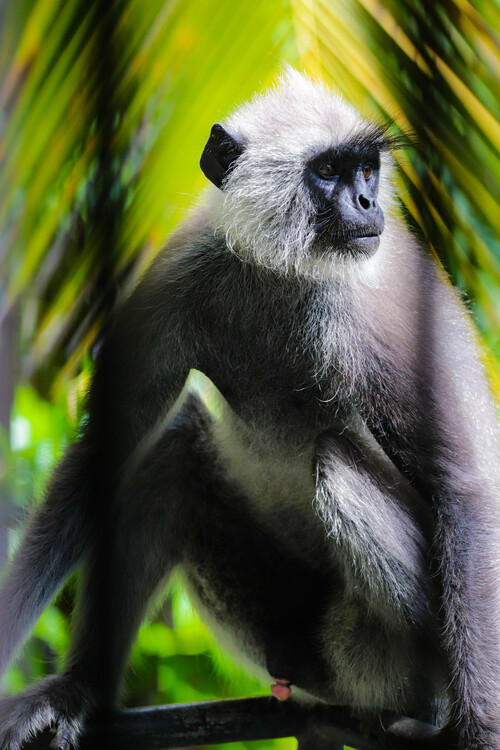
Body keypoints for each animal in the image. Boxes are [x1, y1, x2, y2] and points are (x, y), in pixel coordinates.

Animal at [1, 69, 500, 750]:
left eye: (366, 171)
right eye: (328, 172)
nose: (367, 204)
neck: (282, 271)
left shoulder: (374, 305)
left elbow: (462, 484)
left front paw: (480, 730)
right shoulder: (182, 273)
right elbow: (103, 453)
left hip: (370, 650)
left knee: (334, 459)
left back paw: (430, 706)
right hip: (273, 623)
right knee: (172, 452)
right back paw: (80, 690)